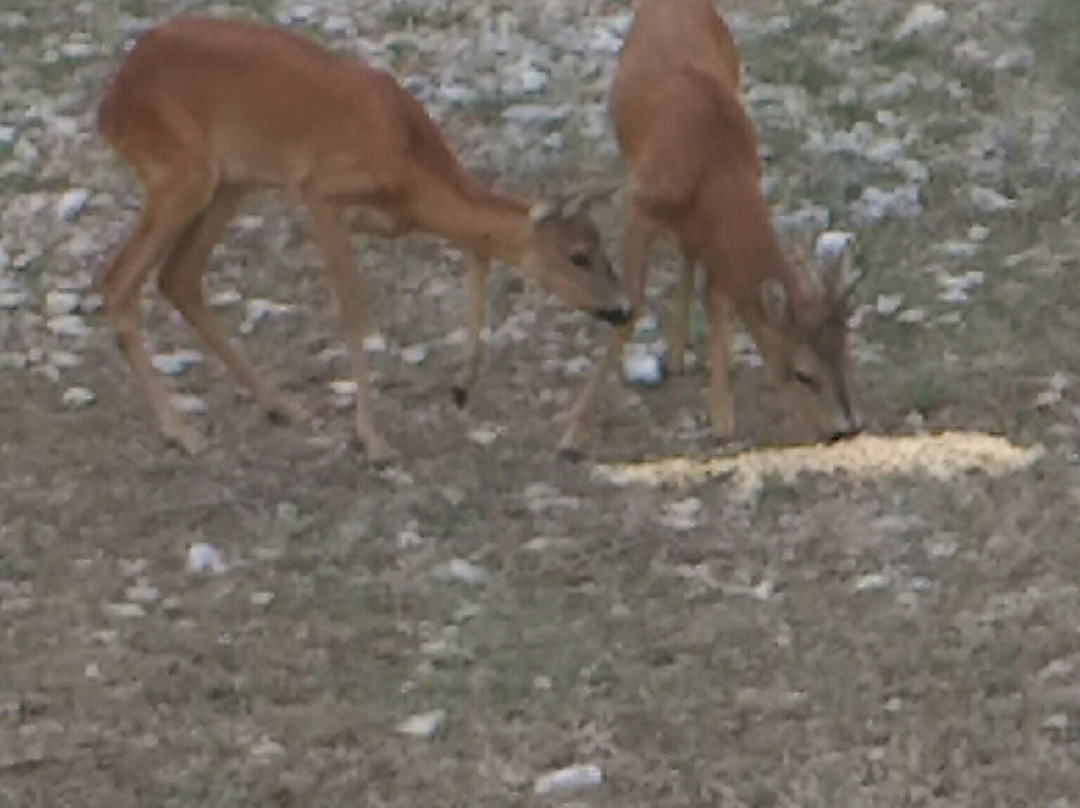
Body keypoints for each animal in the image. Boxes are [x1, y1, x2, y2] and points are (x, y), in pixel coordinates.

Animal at [97, 15, 630, 464]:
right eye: (579, 256)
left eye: (602, 243)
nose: (622, 308)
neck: (408, 162)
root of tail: (112, 105)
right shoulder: (321, 193)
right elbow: (354, 311)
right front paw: (373, 440)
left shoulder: (391, 221)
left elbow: (477, 252)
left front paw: (461, 385)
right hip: (181, 173)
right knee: (118, 279)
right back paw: (182, 432)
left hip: (231, 181)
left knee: (179, 277)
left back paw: (281, 406)